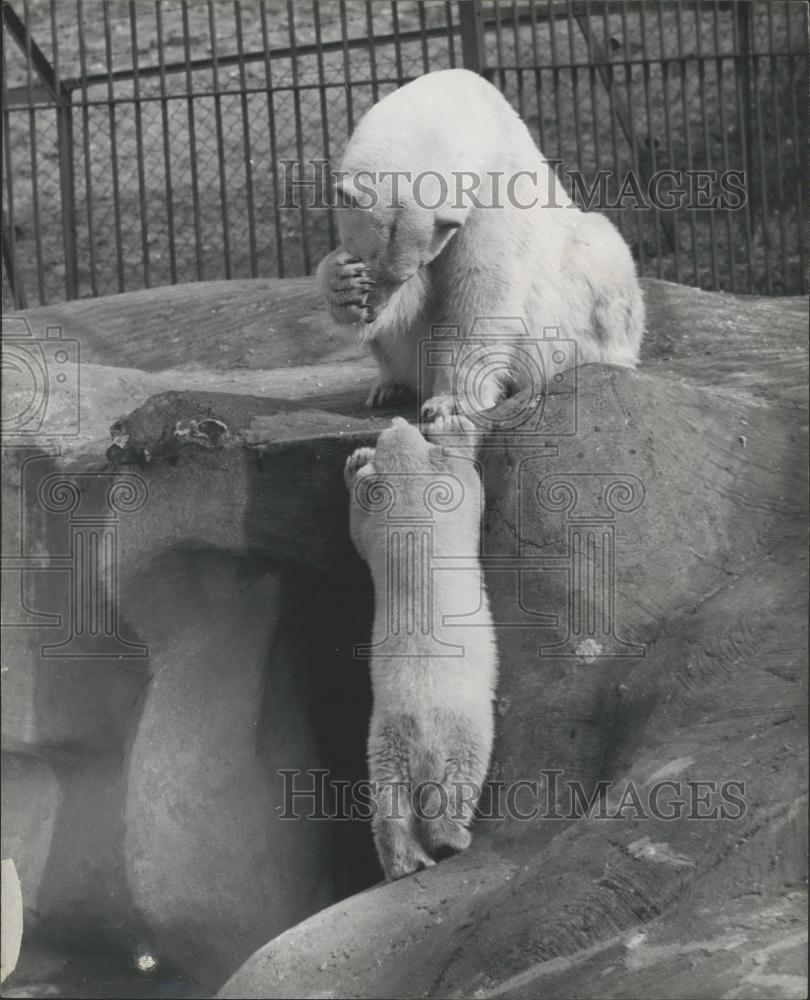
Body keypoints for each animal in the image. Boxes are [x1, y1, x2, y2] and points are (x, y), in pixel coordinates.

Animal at [316, 65, 644, 426]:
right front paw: (344, 285)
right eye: (367, 263)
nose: (372, 311)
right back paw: (390, 388)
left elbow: (481, 287)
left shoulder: (495, 193)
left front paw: (450, 403)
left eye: (403, 273)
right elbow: (415, 303)